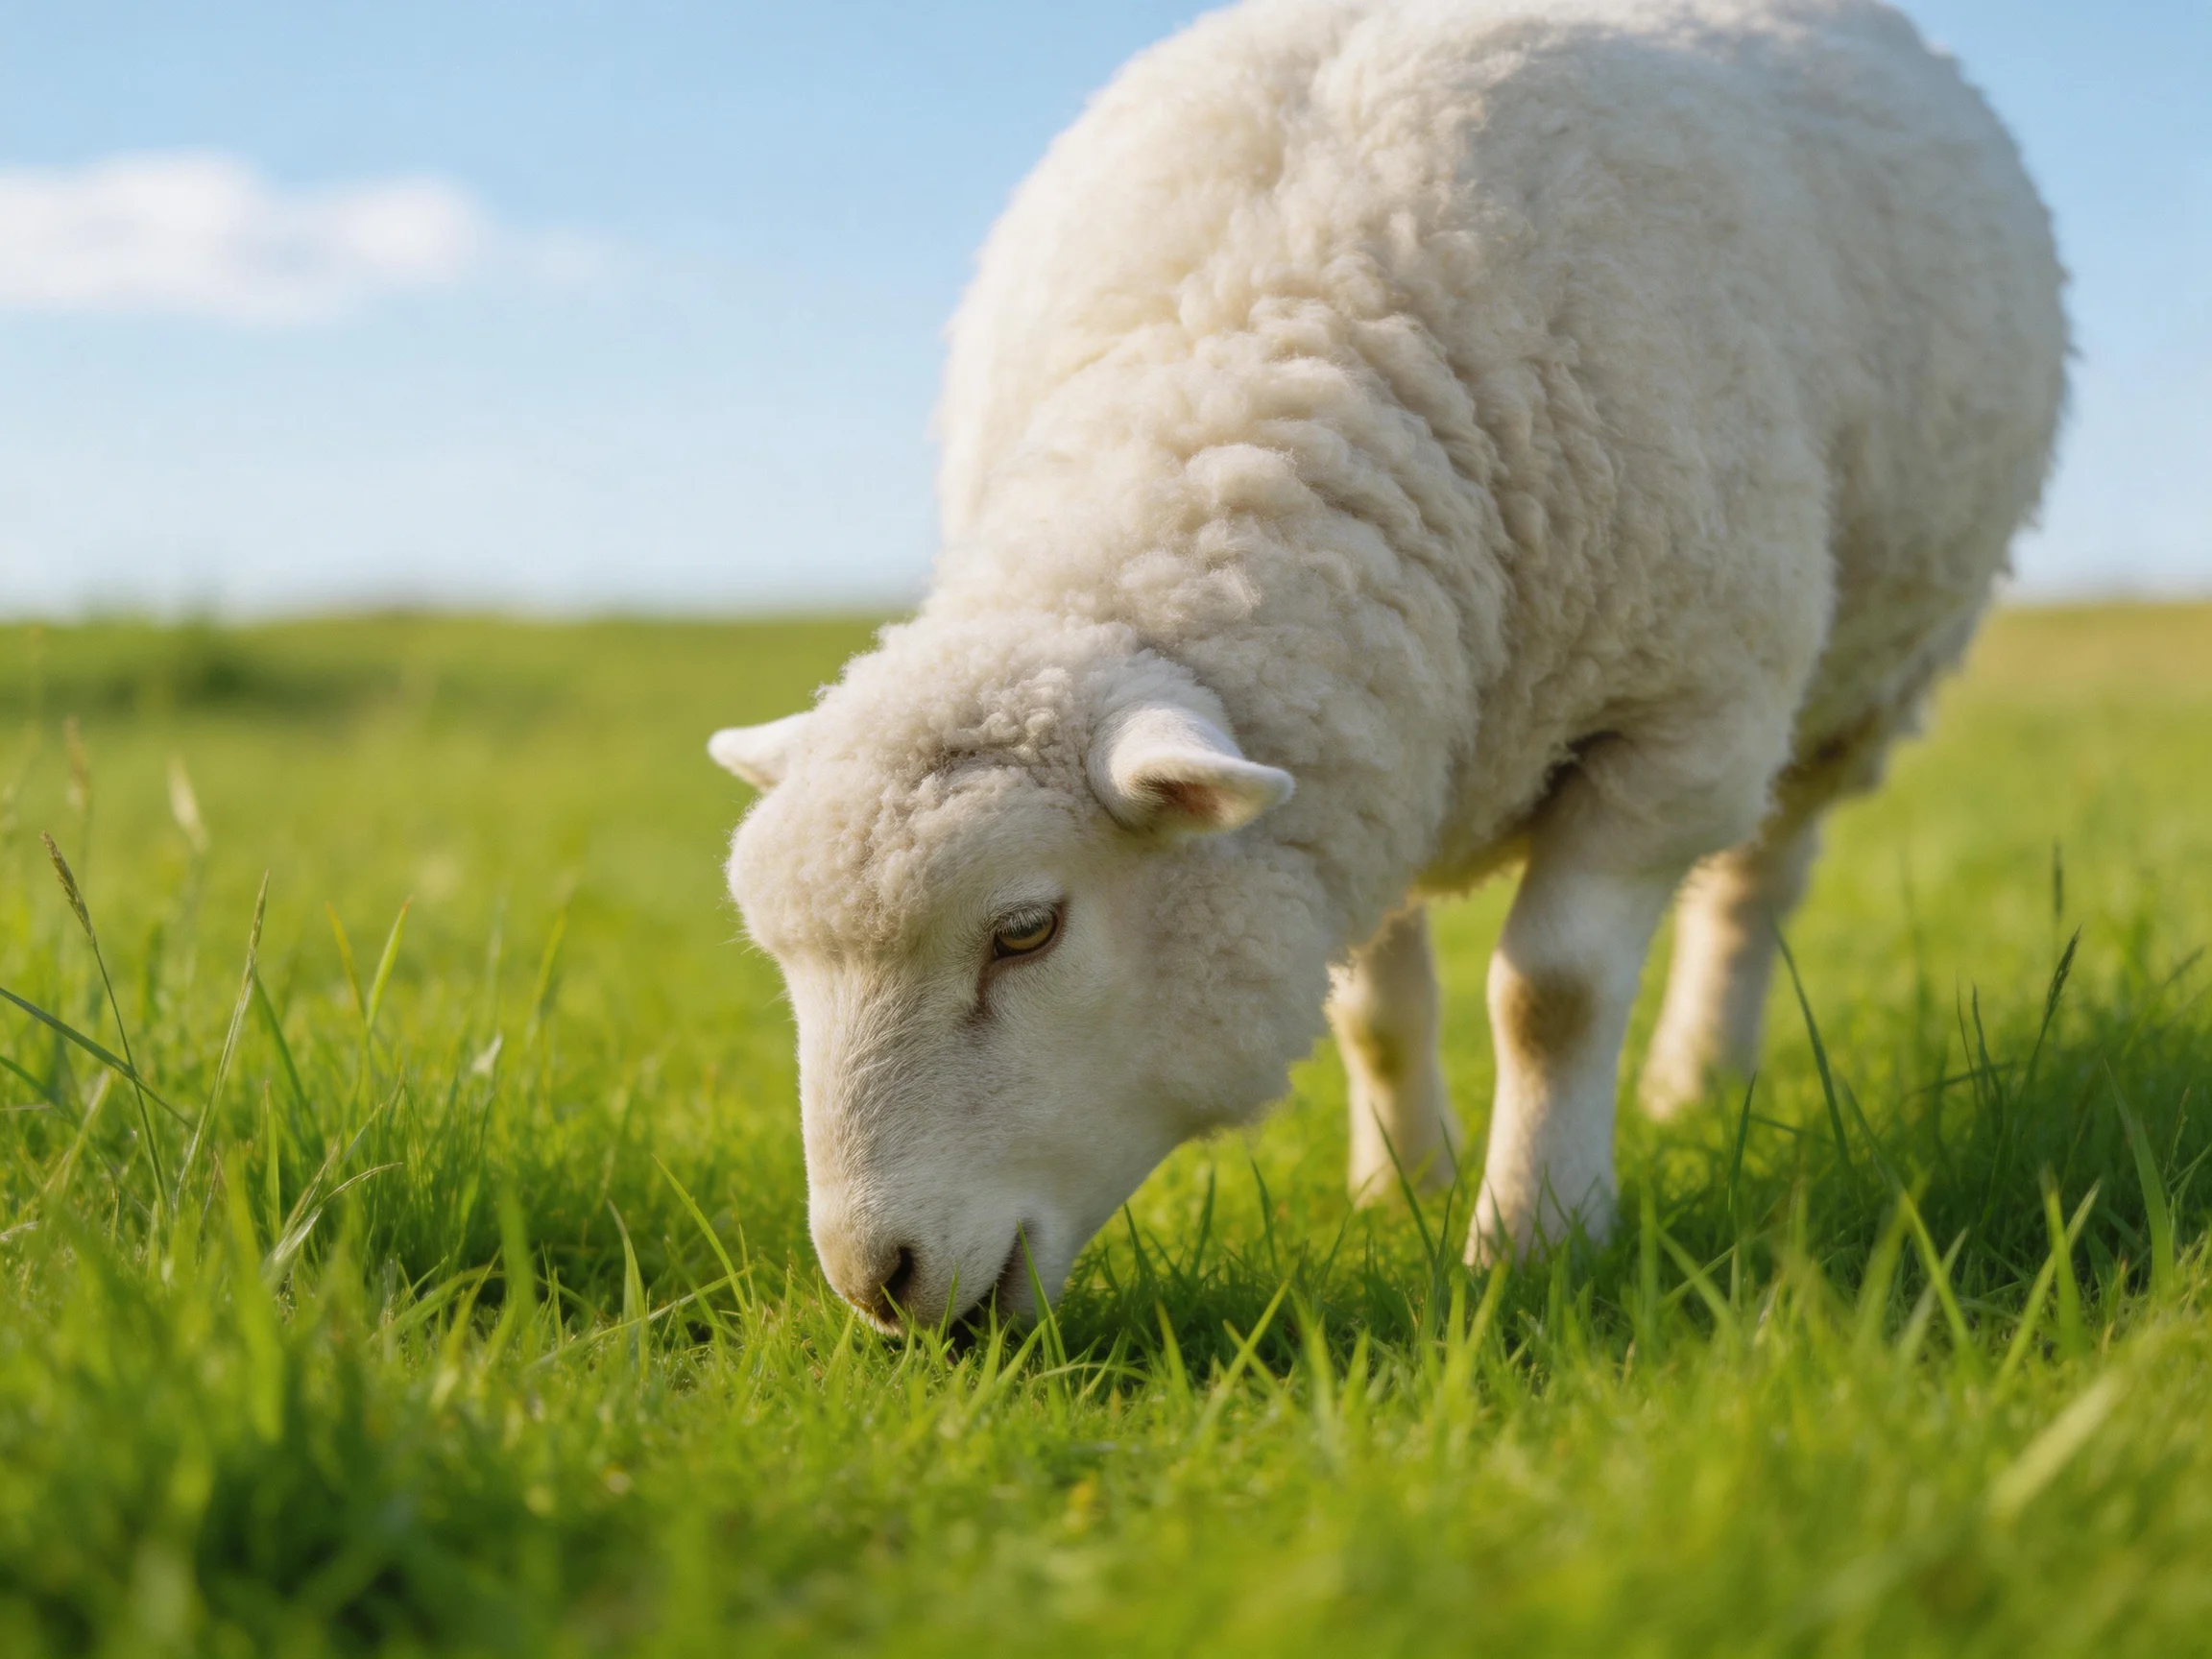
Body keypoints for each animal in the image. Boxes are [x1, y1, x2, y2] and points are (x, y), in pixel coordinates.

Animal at [710, 0, 2066, 1329]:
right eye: (785, 964)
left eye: (1027, 931)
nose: (875, 1282)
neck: (1255, 352)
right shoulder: (1353, 748)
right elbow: (1371, 1012)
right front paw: (1402, 1189)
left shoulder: (1679, 723)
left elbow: (1552, 996)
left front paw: (1533, 1240)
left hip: (1860, 687)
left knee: (1753, 885)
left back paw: (1700, 1081)